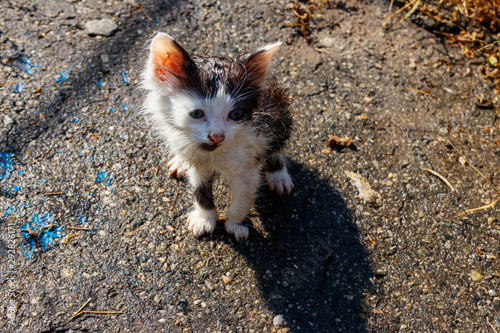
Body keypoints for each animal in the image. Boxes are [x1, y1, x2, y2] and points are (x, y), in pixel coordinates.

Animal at [141, 33, 292, 240]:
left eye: (236, 114)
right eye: (197, 113)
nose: (217, 136)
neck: (213, 154)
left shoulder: (248, 158)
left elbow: (244, 193)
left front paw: (236, 223)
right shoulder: (198, 163)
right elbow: (199, 188)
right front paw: (204, 219)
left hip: (278, 110)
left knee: (276, 145)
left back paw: (278, 175)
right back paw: (180, 161)